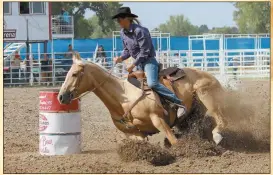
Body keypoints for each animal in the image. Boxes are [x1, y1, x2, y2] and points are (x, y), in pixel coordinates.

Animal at [58, 52, 226, 146]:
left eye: (74, 74)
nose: (61, 96)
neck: (122, 99)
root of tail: (210, 75)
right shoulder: (134, 134)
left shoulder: (158, 119)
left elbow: (174, 141)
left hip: (207, 96)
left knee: (220, 118)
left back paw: (217, 136)